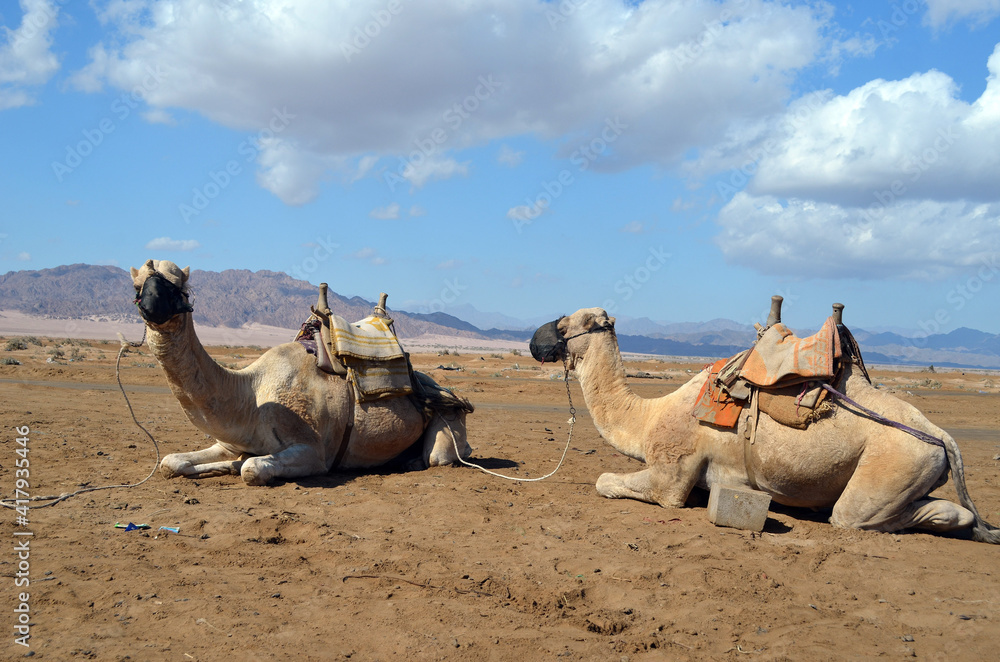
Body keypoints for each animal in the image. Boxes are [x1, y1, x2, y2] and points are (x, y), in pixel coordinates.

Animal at [129, 259, 473, 486]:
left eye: (178, 286)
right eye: (137, 285)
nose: (149, 306)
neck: (250, 396)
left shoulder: (314, 452)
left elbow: (251, 469)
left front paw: (237, 467)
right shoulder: (228, 441)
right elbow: (170, 462)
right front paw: (224, 466)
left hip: (449, 426)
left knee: (440, 457)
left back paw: (414, 461)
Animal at [531, 307, 1000, 543]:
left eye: (565, 322)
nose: (534, 340)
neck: (648, 417)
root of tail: (940, 436)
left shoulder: (672, 475)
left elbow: (607, 482)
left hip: (894, 465)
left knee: (857, 516)